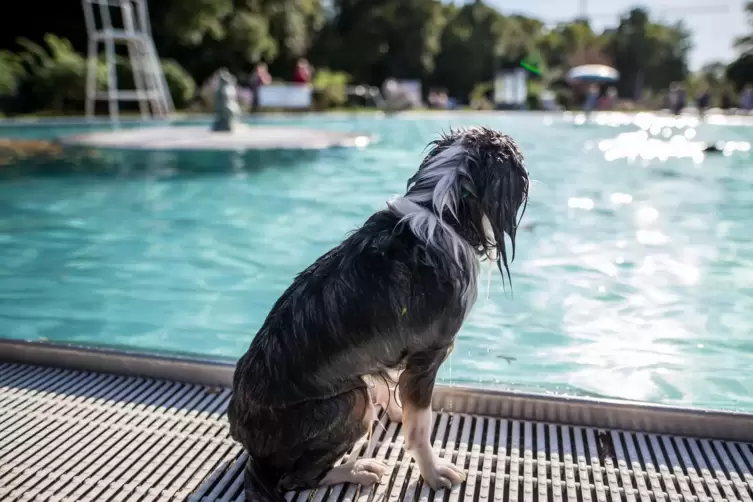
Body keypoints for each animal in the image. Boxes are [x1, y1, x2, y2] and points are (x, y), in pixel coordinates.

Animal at [229, 125, 528, 498]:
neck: (440, 209)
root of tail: (246, 441)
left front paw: (397, 408)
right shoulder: (430, 352)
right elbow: (420, 428)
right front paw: (434, 473)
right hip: (350, 402)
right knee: (296, 479)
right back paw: (356, 469)